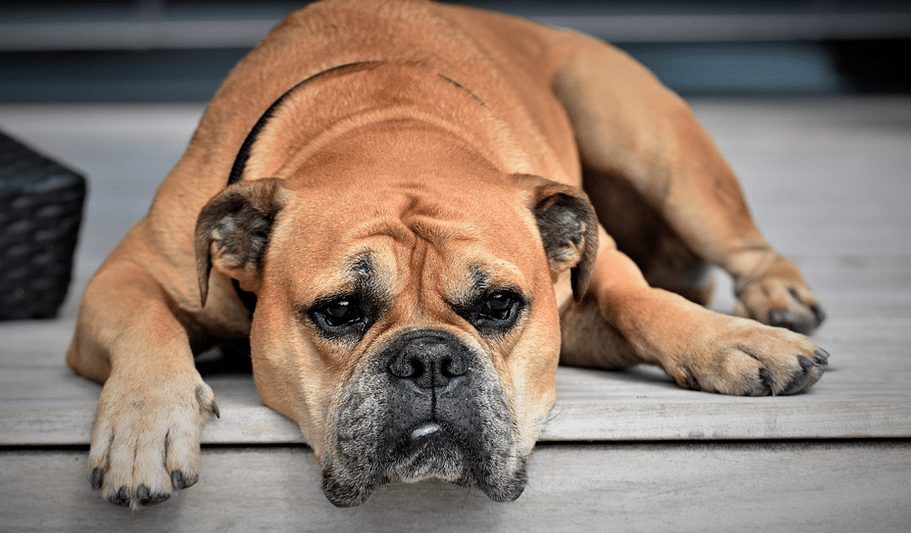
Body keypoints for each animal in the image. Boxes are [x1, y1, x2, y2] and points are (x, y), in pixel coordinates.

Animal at [67, 0, 832, 508]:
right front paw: (145, 423)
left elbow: (639, 297)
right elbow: (146, 322)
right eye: (339, 310)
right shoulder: (124, 276)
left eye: (498, 304)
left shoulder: (592, 274)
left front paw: (732, 341)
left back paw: (774, 301)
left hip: (649, 139)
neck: (387, 125)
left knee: (742, 246)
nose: (430, 359)